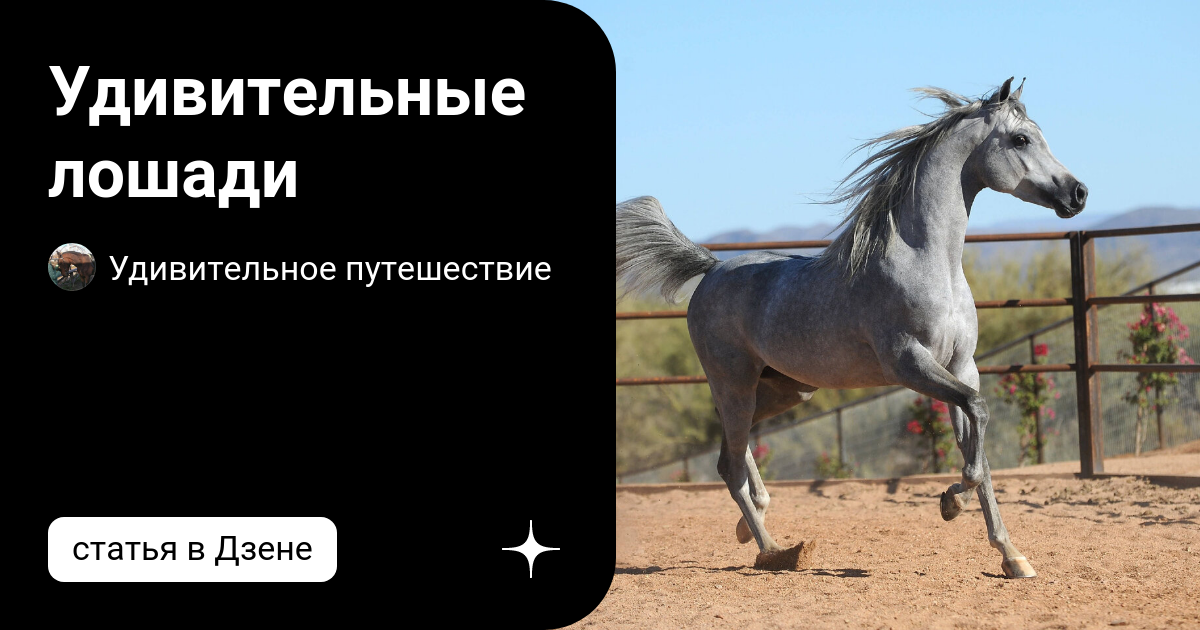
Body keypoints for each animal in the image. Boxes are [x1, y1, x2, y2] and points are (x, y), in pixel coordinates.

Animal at [615, 78, 1087, 578]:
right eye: (1021, 140)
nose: (1078, 194)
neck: (928, 263)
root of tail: (711, 270)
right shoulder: (910, 363)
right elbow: (976, 430)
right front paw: (949, 503)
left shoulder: (962, 367)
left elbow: (978, 446)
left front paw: (1013, 557)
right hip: (734, 383)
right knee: (730, 467)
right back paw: (776, 550)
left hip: (784, 390)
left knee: (733, 451)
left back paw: (753, 522)